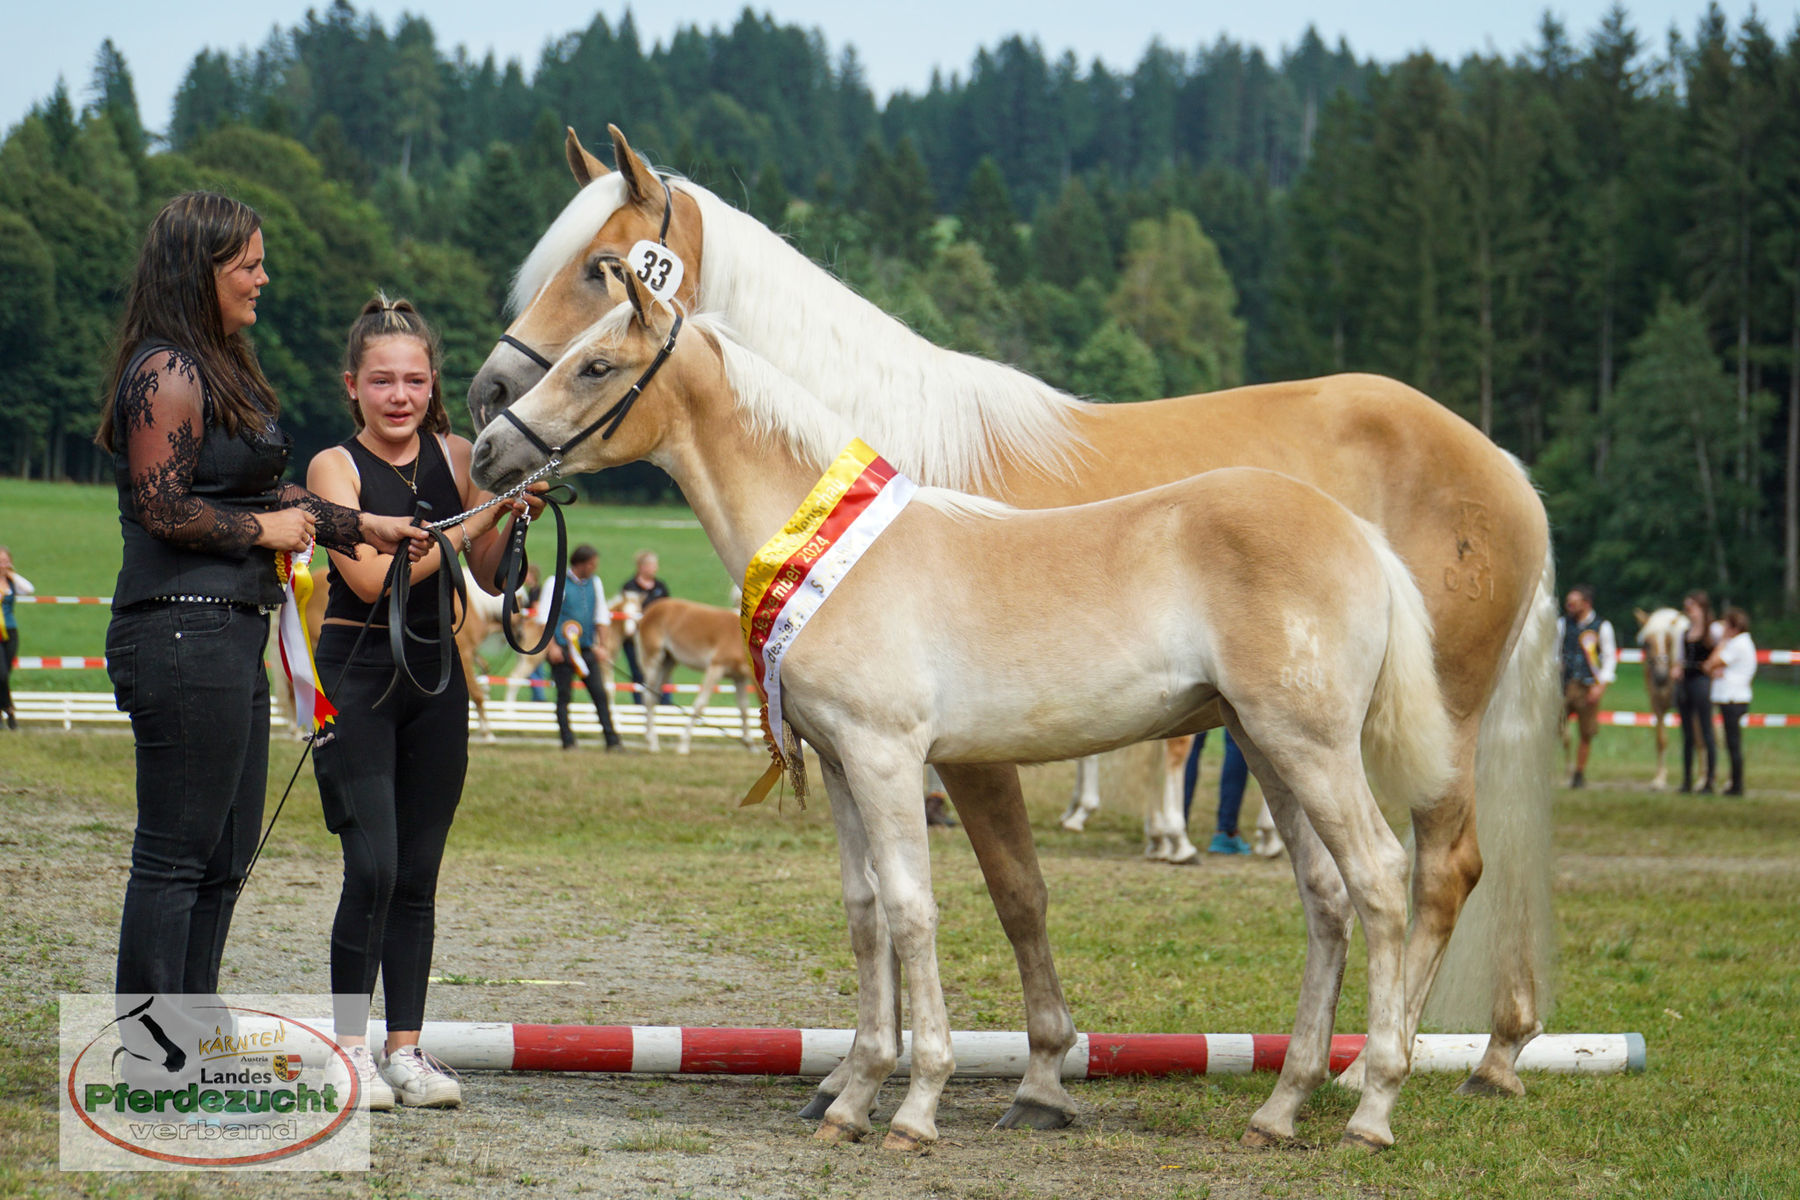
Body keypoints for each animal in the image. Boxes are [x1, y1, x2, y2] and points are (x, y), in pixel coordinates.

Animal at [622, 597, 756, 755]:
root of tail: (649, 610)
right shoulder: (716, 668)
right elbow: (700, 704)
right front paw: (683, 745)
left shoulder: (739, 677)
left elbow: (744, 708)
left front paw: (750, 744)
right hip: (653, 661)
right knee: (648, 697)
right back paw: (653, 743)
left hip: (668, 663)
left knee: (654, 695)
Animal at [1634, 604, 1684, 791]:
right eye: (1647, 643)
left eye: (1669, 641)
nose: (1660, 677)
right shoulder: (1657, 706)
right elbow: (1661, 740)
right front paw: (1659, 780)